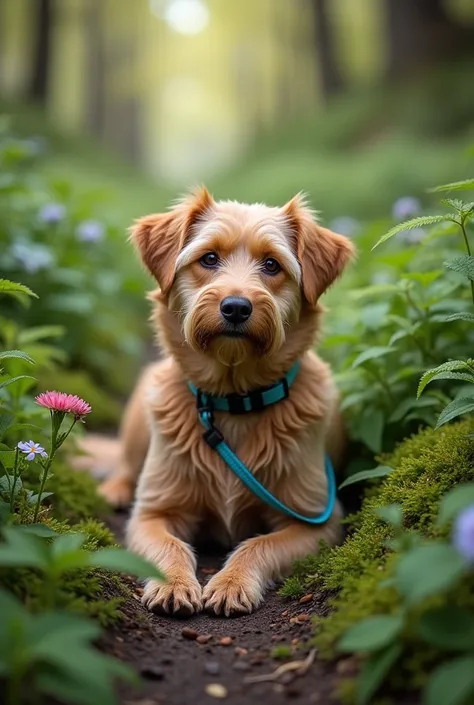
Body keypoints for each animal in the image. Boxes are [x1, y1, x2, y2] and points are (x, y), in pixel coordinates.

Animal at [98, 187, 354, 616]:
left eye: (272, 264)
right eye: (209, 258)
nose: (236, 307)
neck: (233, 401)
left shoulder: (315, 519)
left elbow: (258, 544)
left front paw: (232, 581)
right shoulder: (154, 512)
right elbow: (169, 544)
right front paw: (173, 583)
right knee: (124, 462)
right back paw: (114, 488)